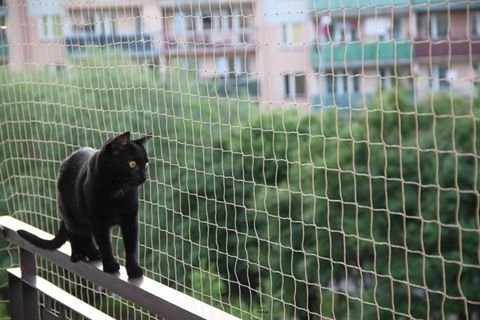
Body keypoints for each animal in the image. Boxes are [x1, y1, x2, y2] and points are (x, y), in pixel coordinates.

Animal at [17, 131, 151, 278]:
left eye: (146, 165)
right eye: (132, 164)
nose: (145, 177)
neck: (117, 190)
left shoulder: (130, 218)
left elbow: (131, 246)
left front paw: (133, 270)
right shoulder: (97, 220)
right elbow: (105, 244)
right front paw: (110, 267)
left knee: (86, 236)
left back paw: (93, 254)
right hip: (71, 214)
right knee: (75, 234)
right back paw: (78, 255)